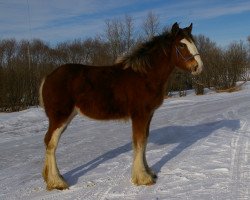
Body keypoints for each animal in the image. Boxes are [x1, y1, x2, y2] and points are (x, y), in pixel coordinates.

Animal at [39, 22, 203, 190]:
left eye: (193, 42)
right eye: (182, 45)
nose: (198, 67)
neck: (144, 76)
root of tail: (49, 77)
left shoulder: (148, 115)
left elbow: (144, 140)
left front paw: (148, 172)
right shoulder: (140, 115)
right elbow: (139, 141)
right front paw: (142, 178)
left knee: (48, 142)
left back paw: (51, 178)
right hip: (60, 118)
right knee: (51, 143)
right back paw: (57, 181)